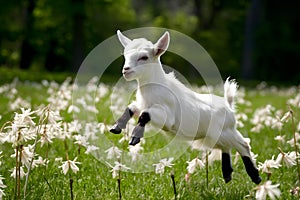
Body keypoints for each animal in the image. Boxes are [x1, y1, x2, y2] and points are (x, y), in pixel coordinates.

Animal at [110, 30, 262, 184]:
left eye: (144, 57)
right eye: (125, 55)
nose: (126, 70)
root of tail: (228, 105)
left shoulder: (167, 117)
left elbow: (144, 115)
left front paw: (134, 137)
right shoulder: (142, 105)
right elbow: (131, 109)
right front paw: (116, 127)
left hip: (225, 131)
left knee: (243, 144)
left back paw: (255, 176)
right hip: (216, 136)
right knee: (226, 147)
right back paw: (227, 174)